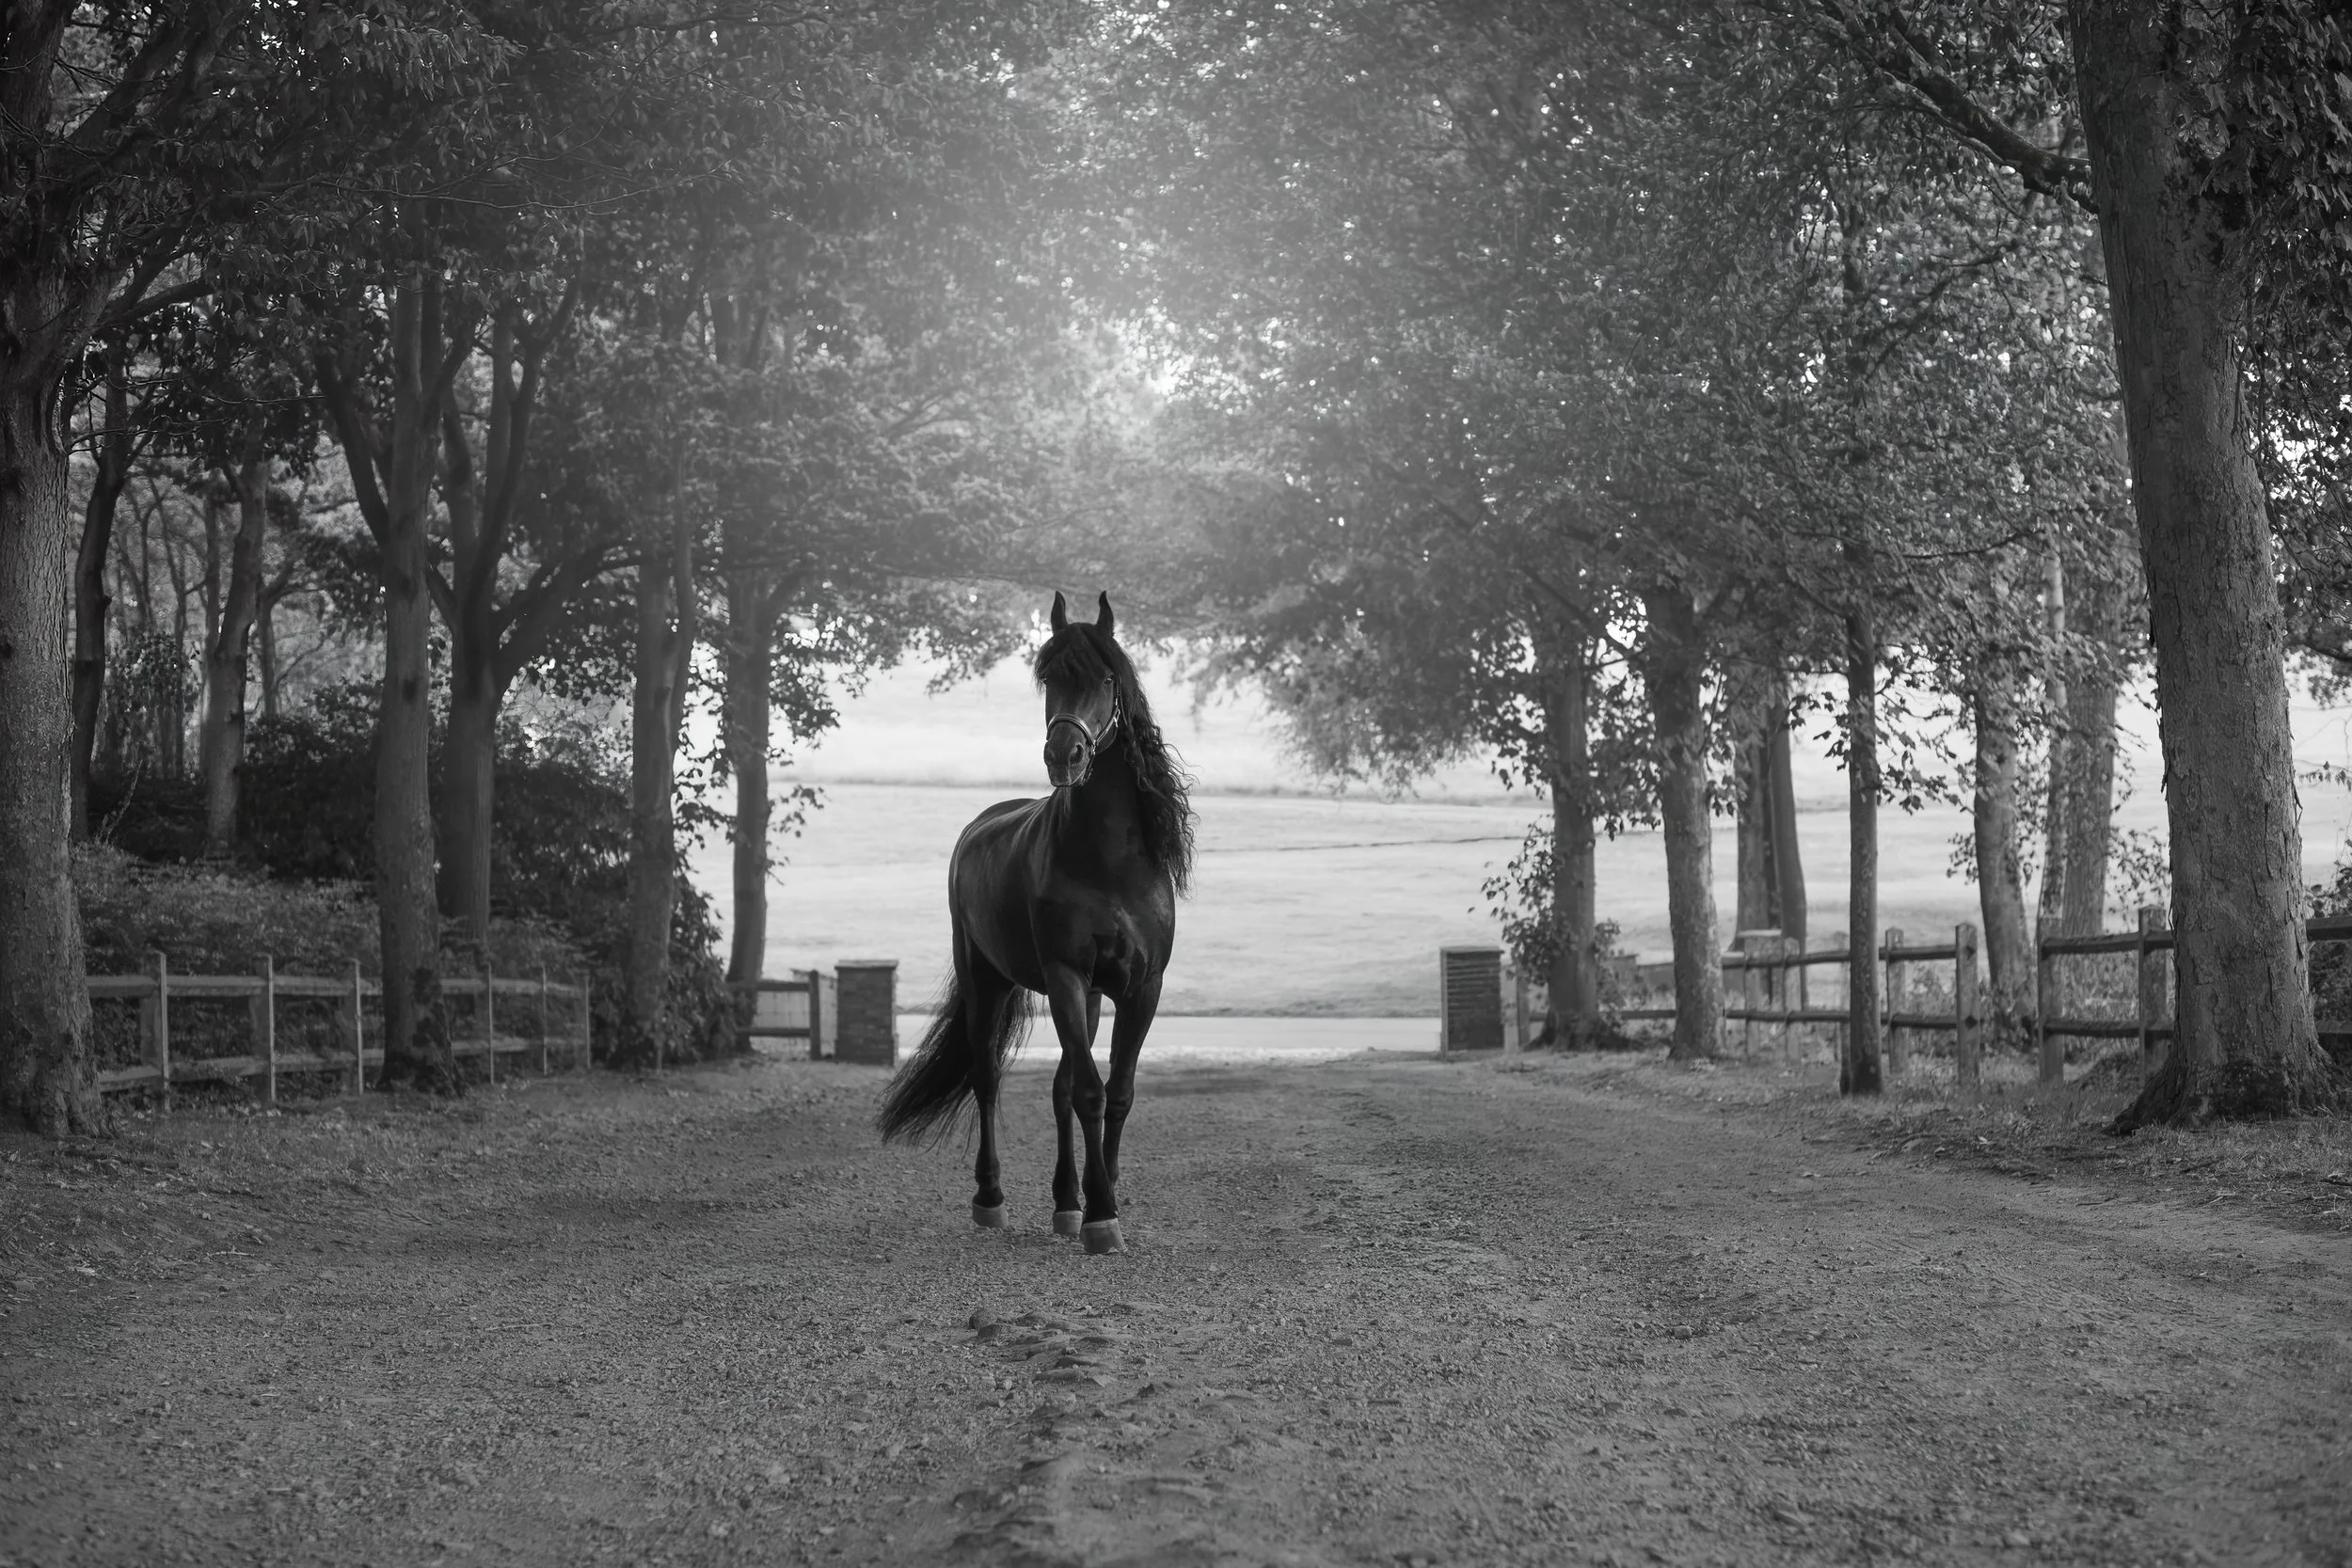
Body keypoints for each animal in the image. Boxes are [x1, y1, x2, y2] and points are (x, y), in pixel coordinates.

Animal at [877, 590, 1194, 1255]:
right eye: (1049, 678)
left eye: (1107, 679)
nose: (1062, 755)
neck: (1107, 858)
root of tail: (978, 826)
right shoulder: (1067, 976)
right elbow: (1091, 1093)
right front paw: (1102, 1217)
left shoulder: (1139, 988)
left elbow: (1116, 1093)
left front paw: (1102, 1197)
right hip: (988, 983)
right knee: (988, 1077)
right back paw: (991, 1199)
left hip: (1088, 997)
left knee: (1059, 1088)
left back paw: (1065, 1202)